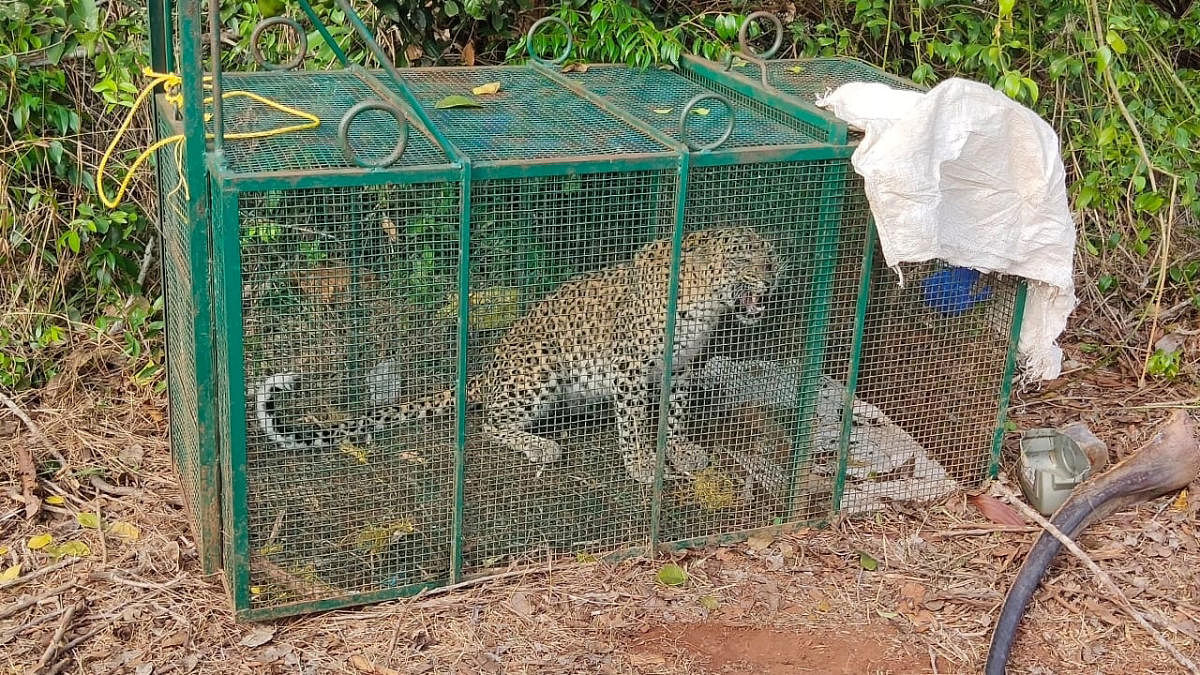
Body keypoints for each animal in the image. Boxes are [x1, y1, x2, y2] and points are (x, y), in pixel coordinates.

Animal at [254, 225, 782, 482]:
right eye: (742, 257)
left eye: (771, 255)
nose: (775, 274)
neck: (707, 304)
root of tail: (484, 373)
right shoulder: (629, 370)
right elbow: (633, 424)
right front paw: (641, 466)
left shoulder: (683, 367)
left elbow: (675, 414)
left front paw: (681, 449)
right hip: (540, 362)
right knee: (490, 422)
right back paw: (540, 445)